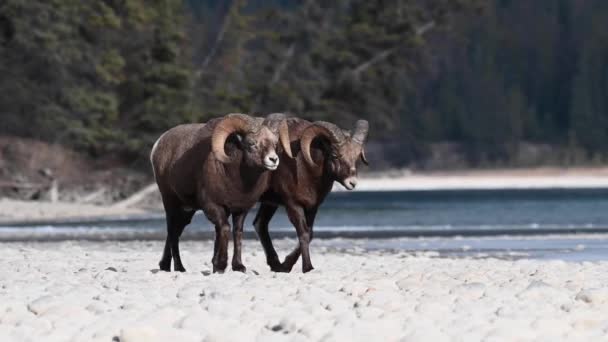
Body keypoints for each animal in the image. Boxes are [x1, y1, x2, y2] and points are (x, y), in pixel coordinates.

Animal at [150, 113, 292, 274]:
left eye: (275, 143)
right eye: (251, 143)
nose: (273, 160)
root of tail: (157, 146)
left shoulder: (240, 210)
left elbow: (236, 232)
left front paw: (238, 266)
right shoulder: (213, 206)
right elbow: (224, 228)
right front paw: (220, 266)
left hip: (187, 211)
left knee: (176, 231)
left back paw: (165, 266)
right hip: (170, 203)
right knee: (172, 232)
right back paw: (180, 268)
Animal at [251, 116, 366, 274]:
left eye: (356, 157)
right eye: (335, 155)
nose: (352, 183)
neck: (304, 166)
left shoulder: (312, 207)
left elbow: (310, 233)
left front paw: (286, 265)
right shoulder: (293, 205)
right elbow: (303, 233)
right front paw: (308, 267)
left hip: (269, 204)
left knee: (260, 224)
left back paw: (277, 266)